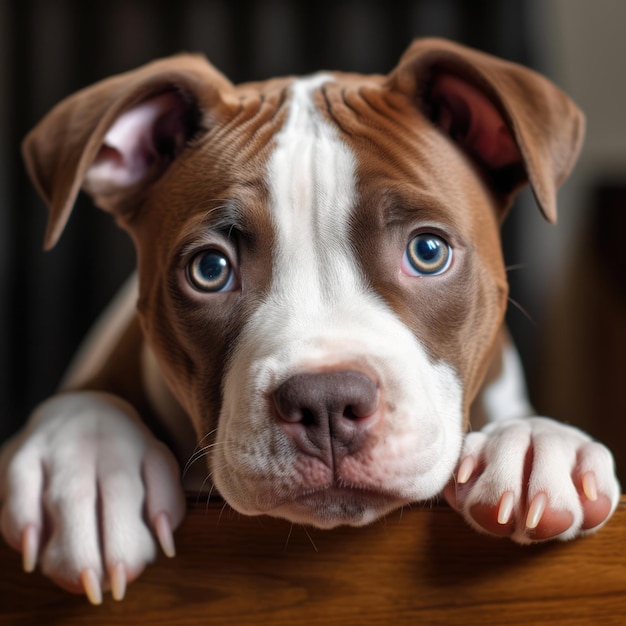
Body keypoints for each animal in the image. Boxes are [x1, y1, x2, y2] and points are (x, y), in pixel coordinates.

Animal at [0, 37, 616, 600]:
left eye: (427, 251)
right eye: (209, 269)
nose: (325, 402)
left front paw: (533, 442)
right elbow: (92, 399)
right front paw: (87, 465)